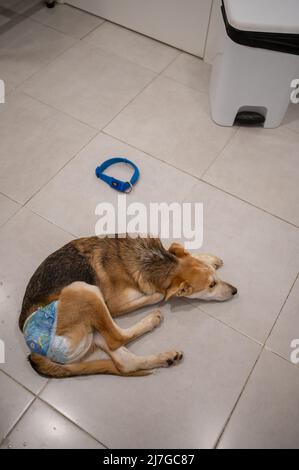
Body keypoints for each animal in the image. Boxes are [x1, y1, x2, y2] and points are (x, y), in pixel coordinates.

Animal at [19, 235, 238, 378]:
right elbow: (157, 294)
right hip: (83, 289)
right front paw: (159, 293)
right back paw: (152, 320)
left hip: (92, 328)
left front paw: (208, 258)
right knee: (117, 337)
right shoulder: (113, 305)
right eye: (212, 285)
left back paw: (166, 358)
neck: (157, 264)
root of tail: (32, 345)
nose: (235, 291)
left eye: (216, 279)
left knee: (124, 362)